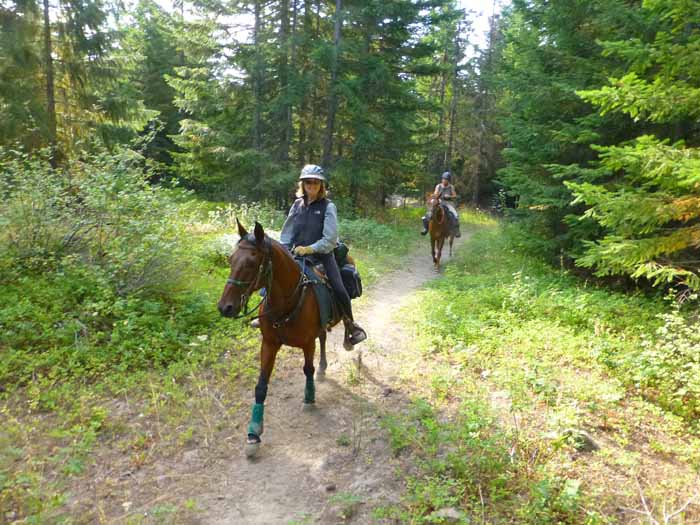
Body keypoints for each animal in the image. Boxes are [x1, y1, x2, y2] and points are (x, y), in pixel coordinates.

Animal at [219, 219, 340, 456]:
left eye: (251, 263)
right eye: (231, 259)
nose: (225, 307)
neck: (285, 305)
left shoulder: (307, 343)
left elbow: (308, 369)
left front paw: (309, 399)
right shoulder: (269, 344)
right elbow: (261, 386)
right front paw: (253, 434)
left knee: (323, 341)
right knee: (323, 337)